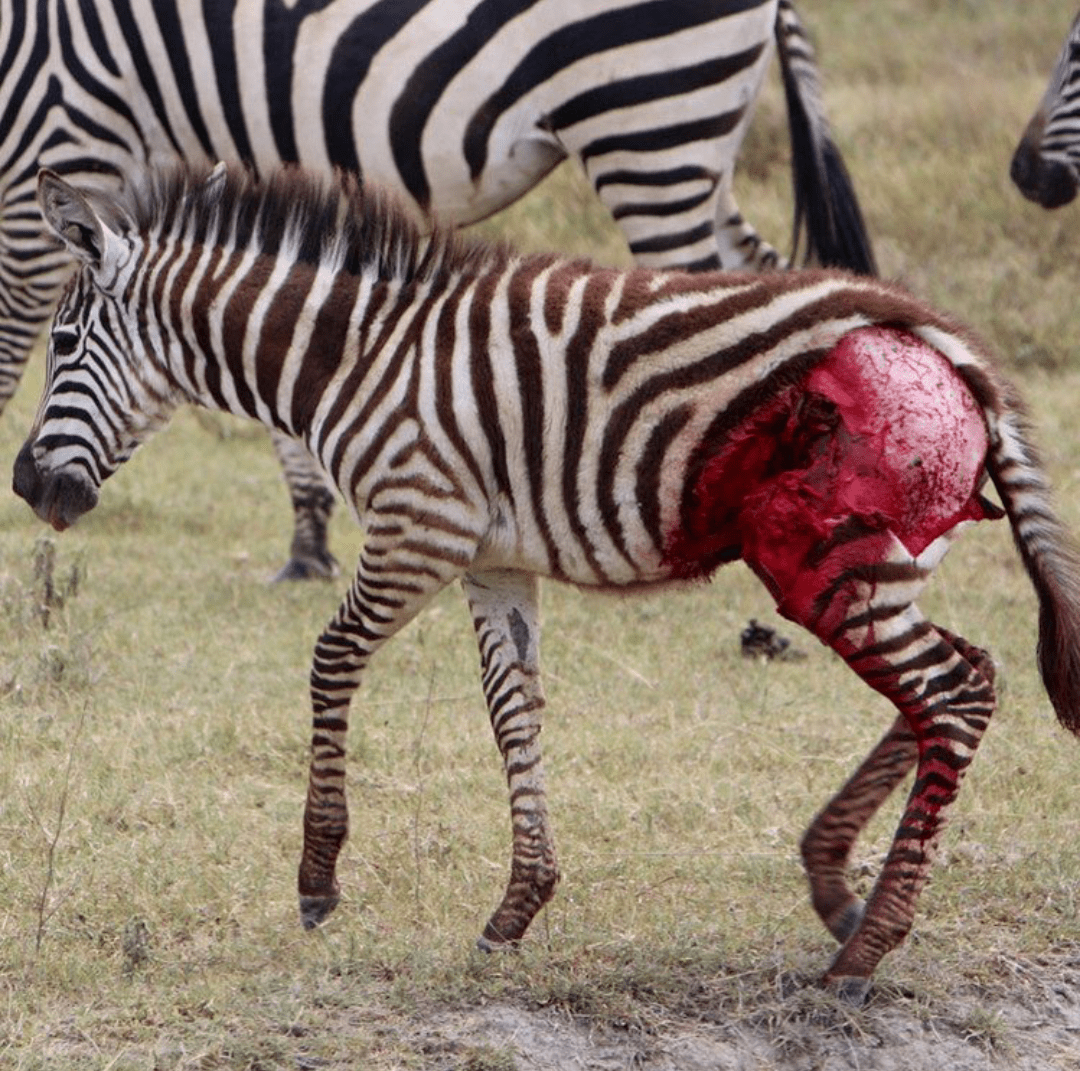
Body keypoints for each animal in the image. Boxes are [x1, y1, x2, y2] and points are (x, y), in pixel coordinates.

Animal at [2, 0, 876, 578]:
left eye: (68, 344)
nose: (24, 483)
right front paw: (309, 543)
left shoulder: (54, 132)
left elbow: (7, 348)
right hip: (687, 137)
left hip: (648, 117)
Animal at [14, 163, 1080, 1001]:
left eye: (60, 347)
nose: (27, 485)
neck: (359, 358)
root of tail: (946, 343)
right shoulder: (494, 560)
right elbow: (512, 710)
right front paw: (516, 910)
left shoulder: (419, 528)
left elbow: (331, 660)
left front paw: (318, 877)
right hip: (882, 558)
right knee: (963, 680)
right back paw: (834, 884)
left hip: (820, 553)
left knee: (953, 692)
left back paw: (863, 952)